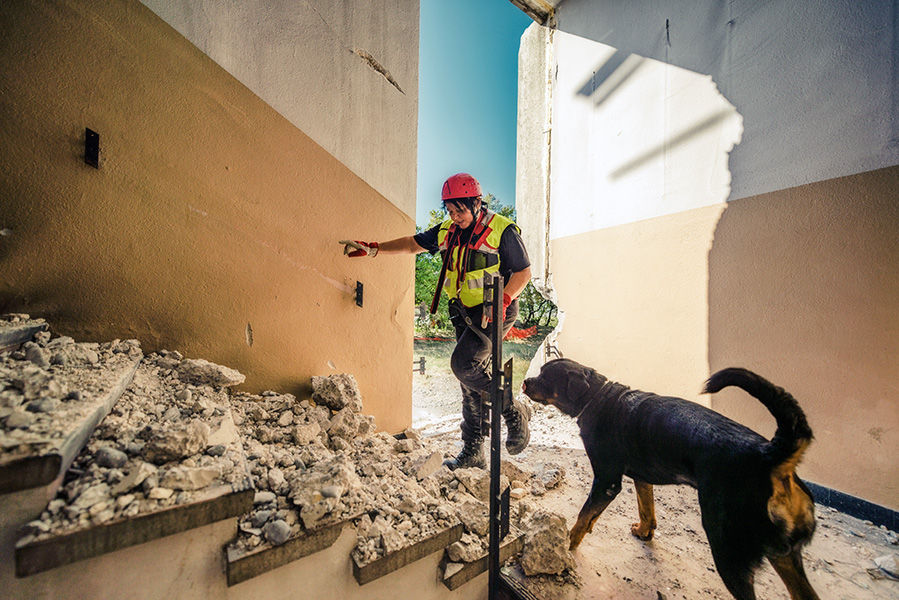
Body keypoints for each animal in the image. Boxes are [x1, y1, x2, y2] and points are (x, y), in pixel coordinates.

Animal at [520, 358, 824, 596]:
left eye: (545, 377)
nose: (523, 382)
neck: (598, 397)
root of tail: (770, 455)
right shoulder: (641, 477)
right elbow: (645, 507)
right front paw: (644, 531)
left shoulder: (607, 481)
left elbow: (584, 517)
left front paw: (567, 543)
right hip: (784, 556)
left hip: (729, 548)